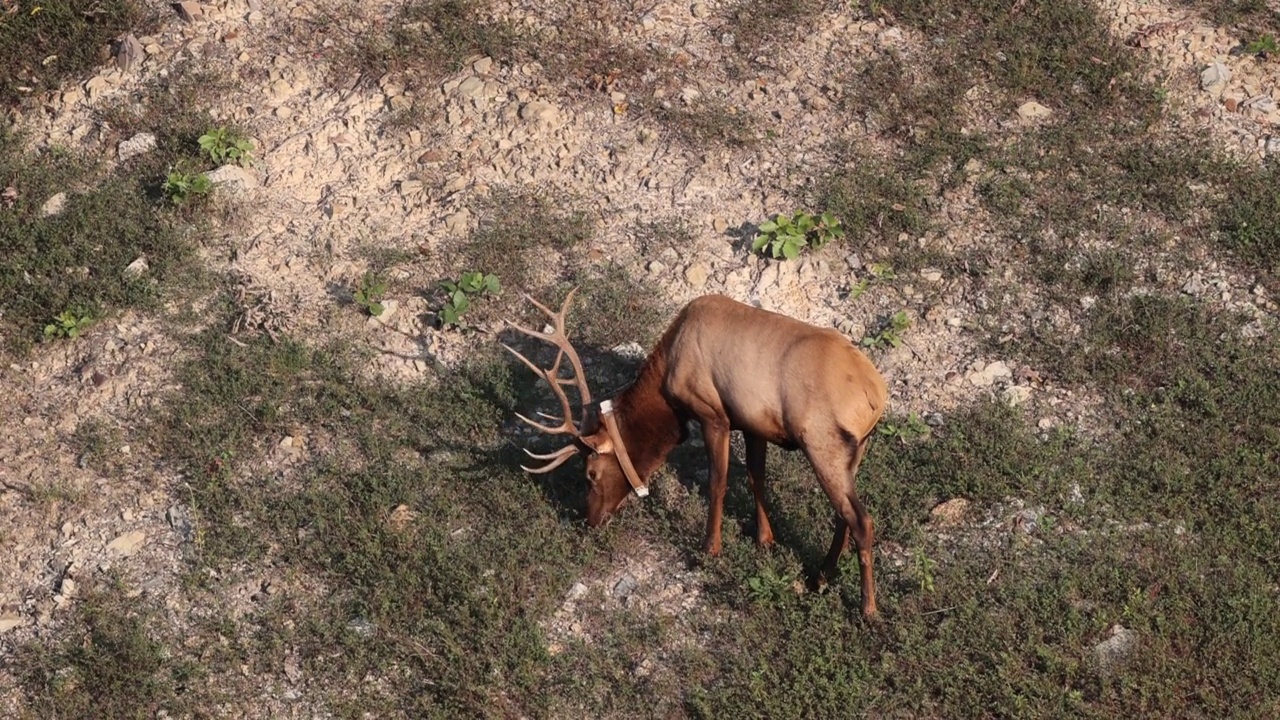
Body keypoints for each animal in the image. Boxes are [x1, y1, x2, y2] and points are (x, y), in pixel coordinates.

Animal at [501, 288, 890, 614]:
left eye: (590, 473)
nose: (591, 519)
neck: (667, 383)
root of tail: (876, 396)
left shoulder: (712, 413)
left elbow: (718, 483)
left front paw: (709, 548)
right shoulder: (752, 423)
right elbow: (756, 478)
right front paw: (765, 540)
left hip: (822, 444)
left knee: (861, 519)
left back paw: (868, 608)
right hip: (854, 451)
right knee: (844, 514)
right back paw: (821, 576)